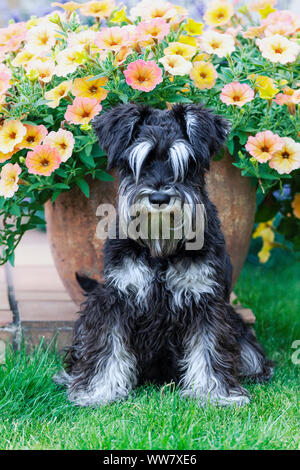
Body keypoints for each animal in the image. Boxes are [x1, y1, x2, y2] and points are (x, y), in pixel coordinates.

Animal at [55, 104, 274, 406]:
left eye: (186, 164)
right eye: (141, 163)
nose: (159, 198)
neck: (159, 248)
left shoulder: (206, 300)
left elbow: (209, 347)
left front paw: (213, 394)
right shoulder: (116, 298)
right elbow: (107, 347)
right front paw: (98, 391)